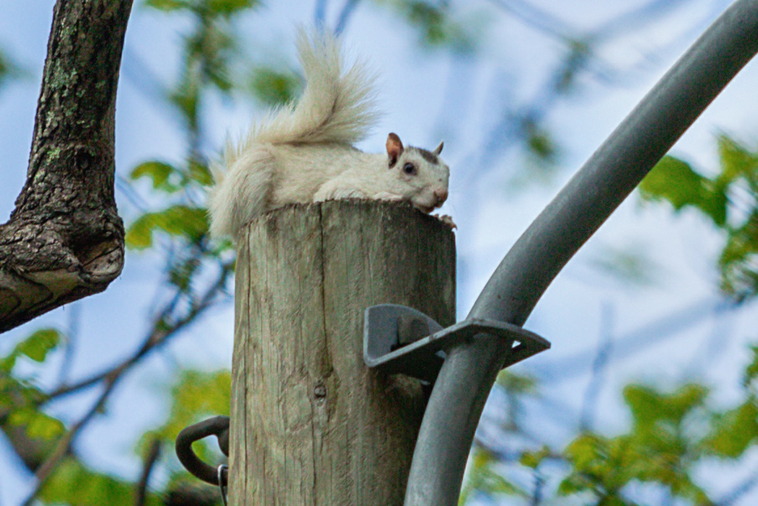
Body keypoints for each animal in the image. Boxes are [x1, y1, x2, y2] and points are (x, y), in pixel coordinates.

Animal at [208, 29, 452, 239]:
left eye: (448, 171)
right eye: (409, 168)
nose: (442, 194)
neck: (378, 173)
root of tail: (220, 202)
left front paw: (445, 218)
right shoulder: (337, 187)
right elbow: (338, 192)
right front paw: (388, 196)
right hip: (252, 176)